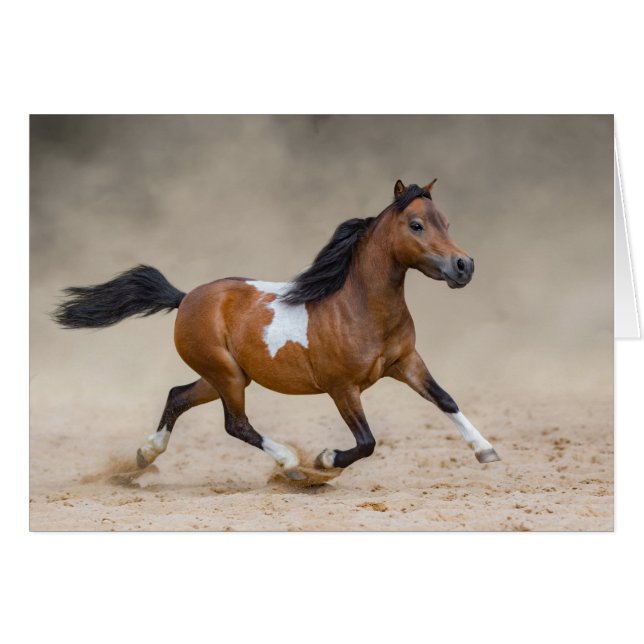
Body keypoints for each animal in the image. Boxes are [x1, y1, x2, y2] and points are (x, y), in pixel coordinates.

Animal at [53, 179, 500, 482]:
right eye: (417, 225)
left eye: (446, 222)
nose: (464, 266)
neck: (359, 307)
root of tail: (186, 298)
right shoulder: (342, 387)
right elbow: (367, 442)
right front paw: (324, 461)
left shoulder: (406, 362)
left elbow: (445, 399)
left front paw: (487, 450)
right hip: (227, 376)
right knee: (236, 424)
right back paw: (292, 465)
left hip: (223, 376)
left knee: (178, 396)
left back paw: (144, 457)